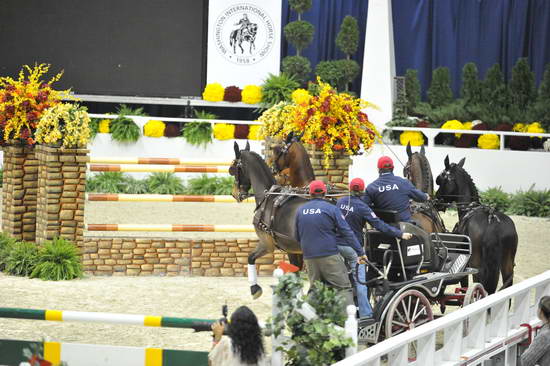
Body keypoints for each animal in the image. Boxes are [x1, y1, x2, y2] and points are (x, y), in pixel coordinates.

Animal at [229, 142, 306, 298]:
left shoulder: (267, 243)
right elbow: (296, 274)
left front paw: (254, 289)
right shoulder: (292, 250)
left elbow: (250, 257)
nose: (234, 193)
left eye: (233, 169)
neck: (268, 196)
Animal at [436, 155, 520, 294]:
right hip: (507, 265)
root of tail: (493, 223)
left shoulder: (465, 265)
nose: (436, 200)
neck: (470, 209)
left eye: (440, 180)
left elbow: (464, 287)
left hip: (477, 266)